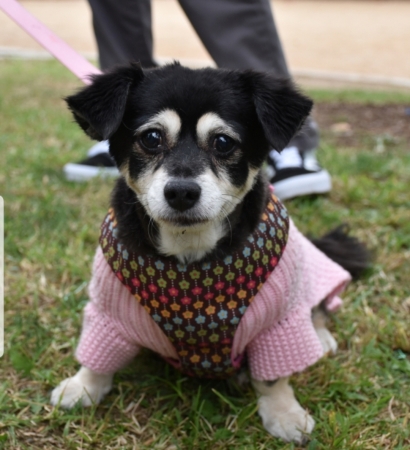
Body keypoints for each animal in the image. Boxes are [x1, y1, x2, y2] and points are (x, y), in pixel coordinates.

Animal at [50, 62, 368, 442]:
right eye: (151, 138)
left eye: (223, 142)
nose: (181, 192)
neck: (190, 248)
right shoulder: (108, 312)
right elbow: (97, 356)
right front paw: (82, 386)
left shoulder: (278, 322)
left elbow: (274, 377)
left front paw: (284, 414)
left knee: (317, 306)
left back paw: (320, 337)